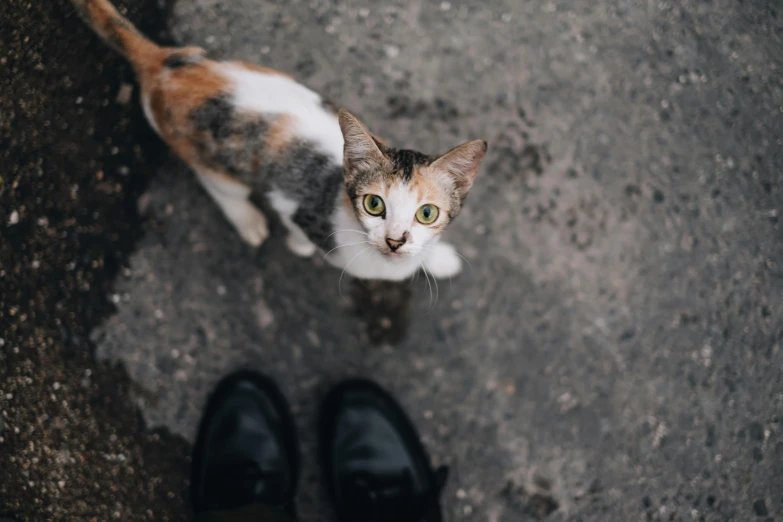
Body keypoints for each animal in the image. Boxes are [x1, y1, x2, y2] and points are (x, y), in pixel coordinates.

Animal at [75, 0, 490, 280]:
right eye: (374, 205)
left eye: (427, 213)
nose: (396, 241)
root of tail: (160, 64)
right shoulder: (294, 205)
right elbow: (296, 229)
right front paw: (300, 246)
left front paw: (439, 258)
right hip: (209, 156)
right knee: (219, 186)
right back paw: (247, 220)